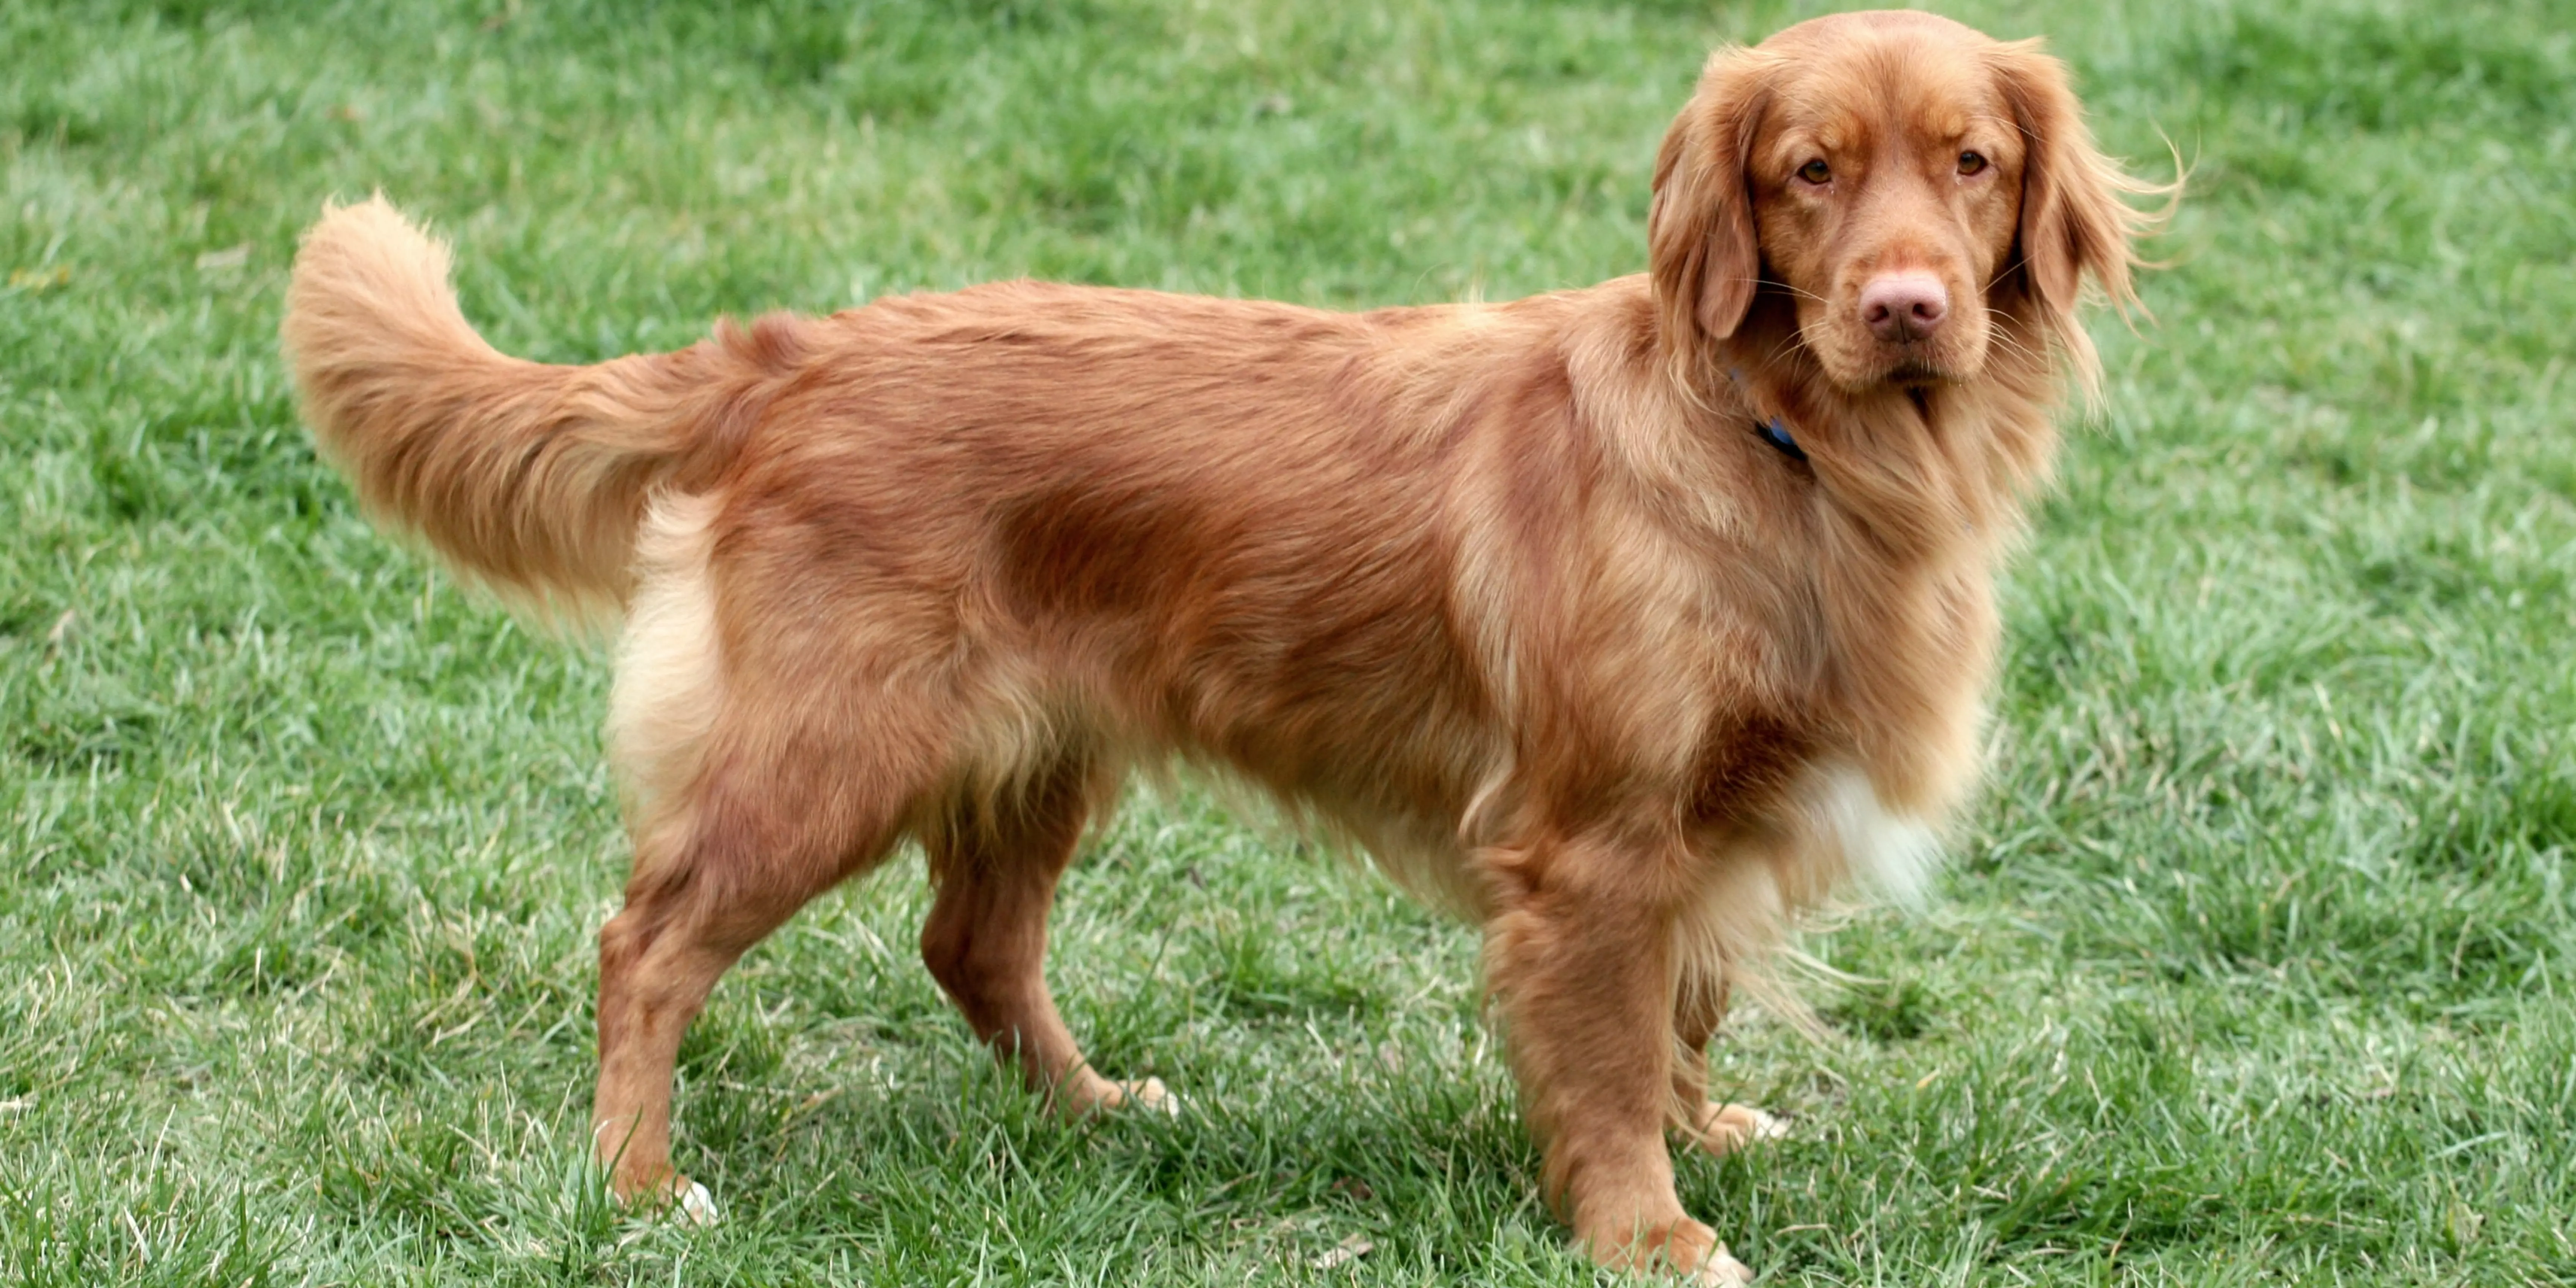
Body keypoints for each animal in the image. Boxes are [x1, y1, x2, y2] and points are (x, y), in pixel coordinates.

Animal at [277, 10, 2174, 1278]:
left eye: (1973, 163)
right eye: (1808, 174)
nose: (1907, 306)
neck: (1785, 448)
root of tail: (794, 353)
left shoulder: (1703, 828)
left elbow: (1682, 1012)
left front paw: (1703, 1131)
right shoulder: (1594, 841)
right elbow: (1615, 1047)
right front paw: (1649, 1225)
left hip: (1036, 750)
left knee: (969, 944)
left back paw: (1096, 1107)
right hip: (828, 753)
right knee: (647, 941)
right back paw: (636, 1181)